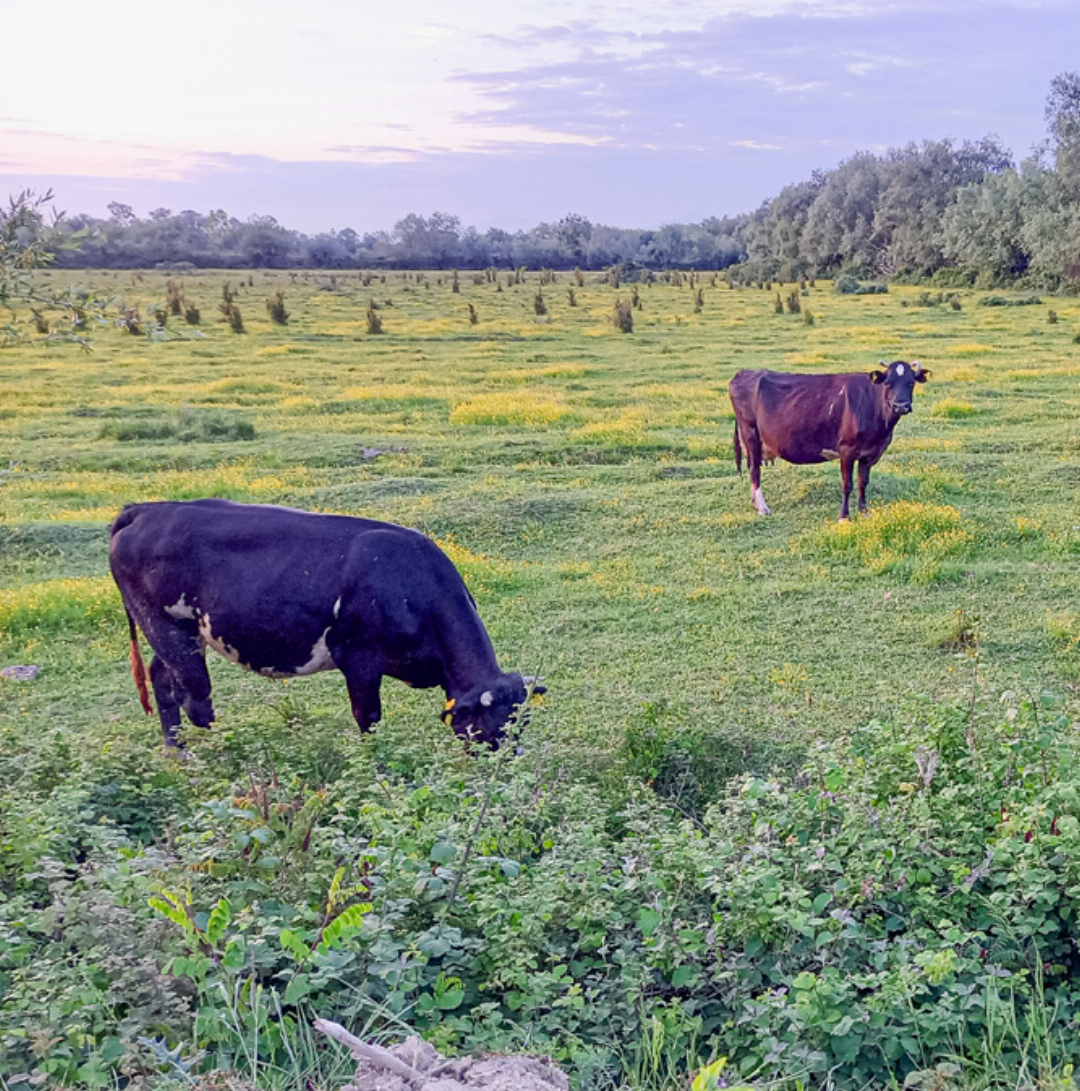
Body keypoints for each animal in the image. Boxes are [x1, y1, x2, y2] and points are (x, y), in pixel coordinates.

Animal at [109, 499, 541, 751]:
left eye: (521, 723)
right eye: (490, 728)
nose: (509, 764)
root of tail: (146, 509)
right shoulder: (360, 660)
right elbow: (369, 720)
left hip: (180, 635)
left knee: (162, 678)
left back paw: (176, 748)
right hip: (166, 627)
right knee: (192, 697)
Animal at [729, 360, 931, 521]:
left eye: (911, 382)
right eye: (888, 383)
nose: (901, 406)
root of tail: (745, 372)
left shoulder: (870, 453)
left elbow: (863, 482)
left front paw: (864, 511)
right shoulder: (847, 450)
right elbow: (847, 484)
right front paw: (844, 517)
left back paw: (755, 503)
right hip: (751, 434)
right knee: (754, 470)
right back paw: (763, 508)